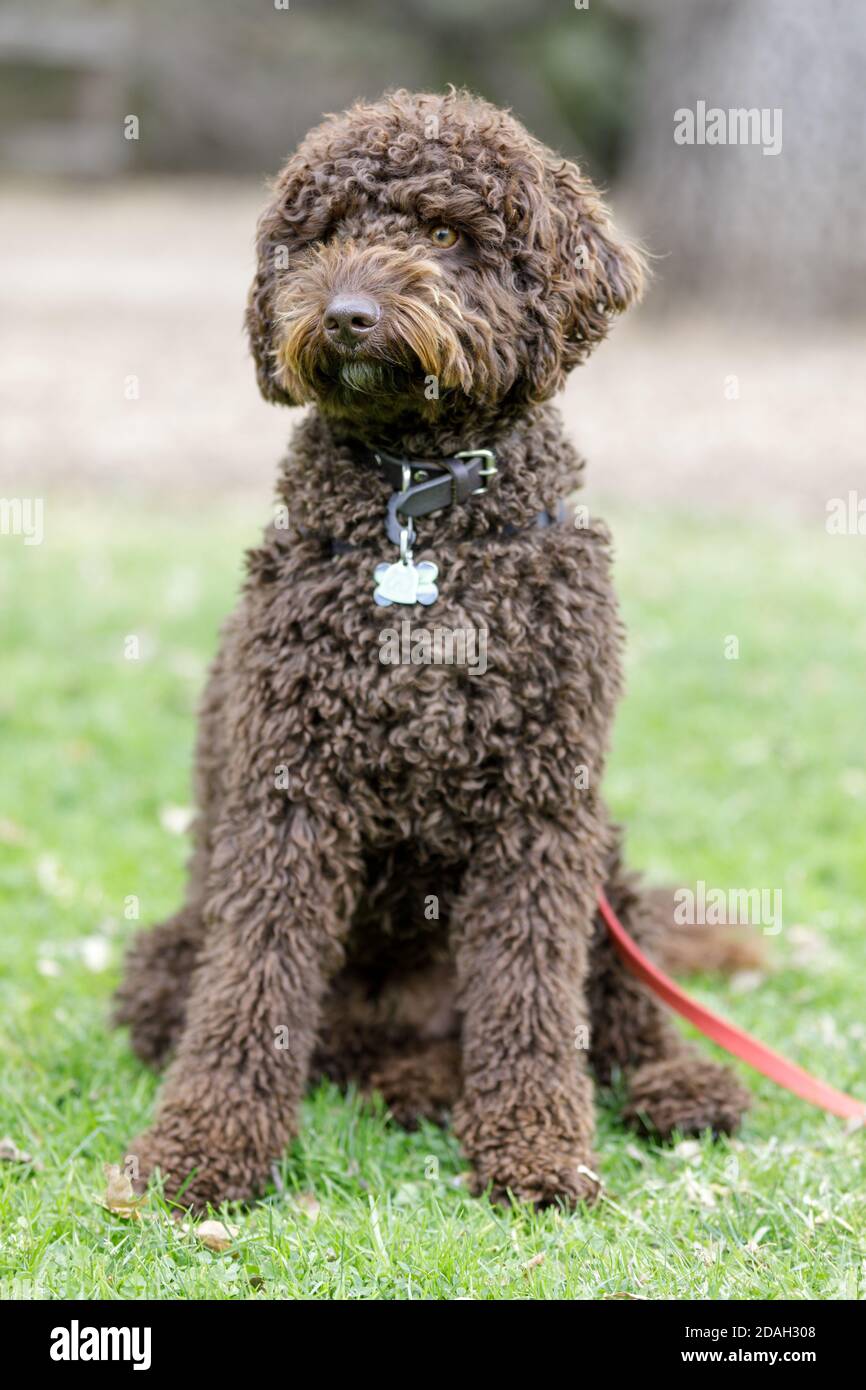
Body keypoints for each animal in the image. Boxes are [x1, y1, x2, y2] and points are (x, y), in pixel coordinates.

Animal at [115, 89, 750, 1217]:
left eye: (448, 236)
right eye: (324, 235)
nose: (346, 315)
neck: (422, 507)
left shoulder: (542, 808)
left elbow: (535, 1001)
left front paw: (536, 1151)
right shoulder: (288, 794)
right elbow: (252, 994)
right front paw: (201, 1151)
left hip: (604, 854)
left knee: (621, 1008)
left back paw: (676, 1083)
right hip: (168, 957)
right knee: (316, 1040)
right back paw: (411, 1081)